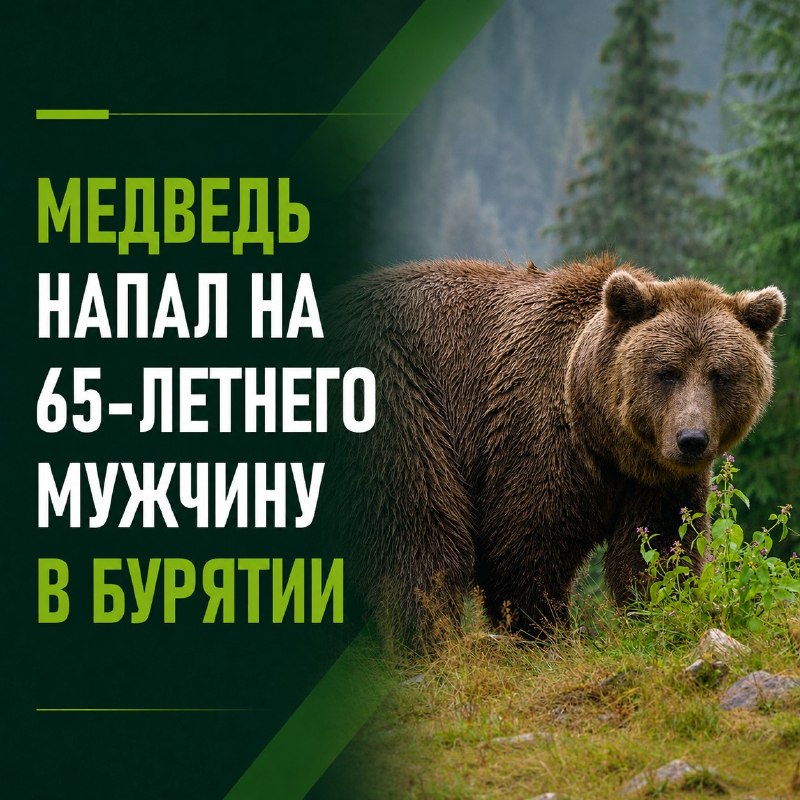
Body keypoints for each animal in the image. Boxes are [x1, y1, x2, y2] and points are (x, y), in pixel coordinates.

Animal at [327, 254, 785, 648]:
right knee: (420, 530)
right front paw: (547, 631)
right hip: (395, 395)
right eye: (668, 372)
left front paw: (660, 611)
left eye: (720, 375)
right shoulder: (535, 433)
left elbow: (657, 547)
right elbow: (526, 545)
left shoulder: (656, 479)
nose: (691, 439)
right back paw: (429, 637)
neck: (602, 435)